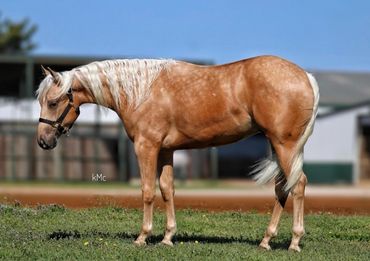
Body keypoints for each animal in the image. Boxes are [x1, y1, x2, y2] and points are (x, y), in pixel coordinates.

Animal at [36, 55, 318, 252]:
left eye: (53, 102)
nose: (43, 141)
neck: (140, 91)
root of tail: (305, 76)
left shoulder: (146, 146)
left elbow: (148, 191)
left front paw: (143, 236)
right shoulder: (166, 150)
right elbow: (166, 189)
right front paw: (168, 237)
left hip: (285, 145)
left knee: (298, 185)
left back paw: (294, 241)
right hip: (278, 146)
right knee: (281, 187)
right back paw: (266, 240)